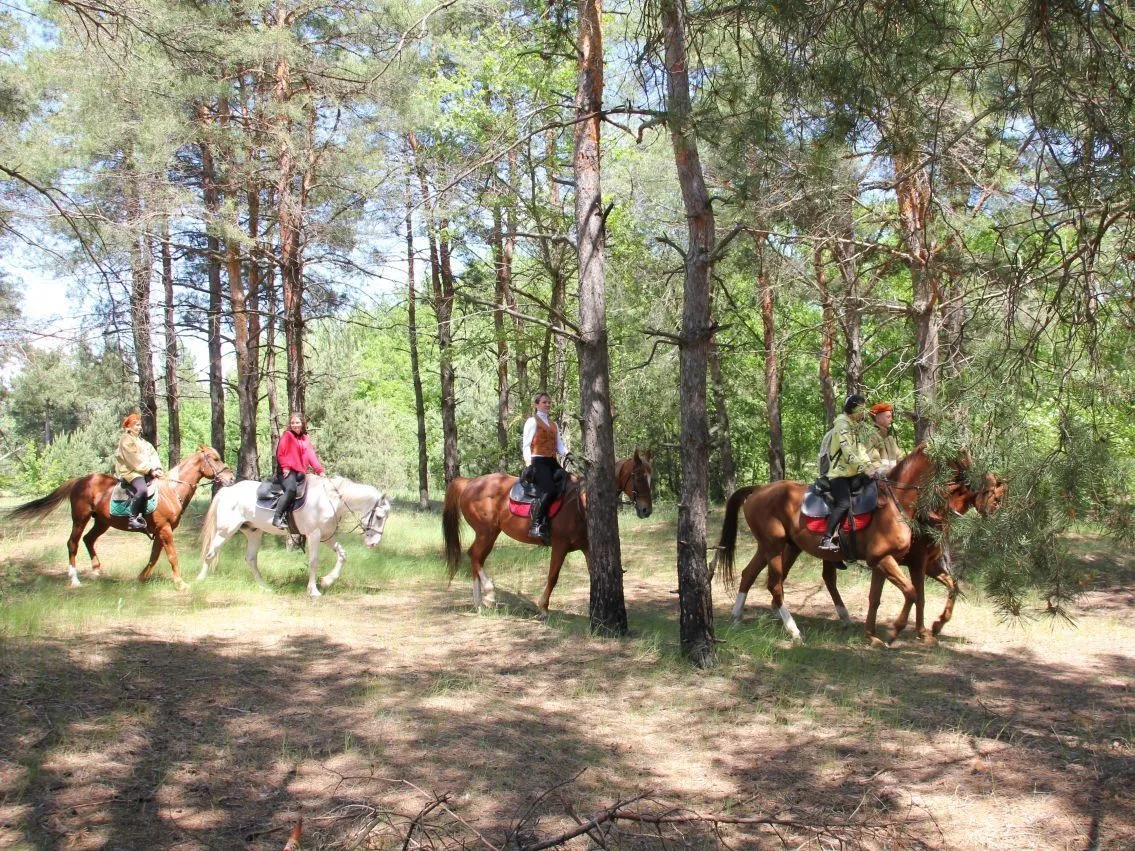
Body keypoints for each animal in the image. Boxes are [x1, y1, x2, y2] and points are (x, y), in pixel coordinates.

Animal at [5, 447, 237, 594]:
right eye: (215, 459)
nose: (231, 478)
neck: (170, 491)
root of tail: (80, 480)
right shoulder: (165, 530)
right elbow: (171, 556)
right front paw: (180, 584)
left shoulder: (160, 531)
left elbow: (154, 557)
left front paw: (140, 579)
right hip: (80, 518)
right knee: (73, 543)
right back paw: (75, 579)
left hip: (102, 522)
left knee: (89, 540)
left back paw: (97, 570)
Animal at [202, 474, 397, 599]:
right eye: (380, 517)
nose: (374, 543)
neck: (330, 500)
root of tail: (228, 491)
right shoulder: (314, 535)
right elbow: (314, 561)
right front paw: (314, 590)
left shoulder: (327, 536)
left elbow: (342, 555)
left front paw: (327, 581)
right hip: (225, 531)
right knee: (210, 554)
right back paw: (200, 581)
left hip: (253, 533)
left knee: (250, 559)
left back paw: (266, 588)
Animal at [442, 453, 658, 621]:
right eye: (638, 477)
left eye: (650, 478)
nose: (646, 510)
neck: (580, 502)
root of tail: (469, 482)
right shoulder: (560, 546)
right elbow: (553, 576)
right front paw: (543, 608)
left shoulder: (586, 547)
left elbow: (593, 574)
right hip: (487, 532)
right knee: (475, 556)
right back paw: (488, 596)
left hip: (488, 534)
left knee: (476, 557)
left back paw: (479, 602)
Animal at [712, 447, 1007, 644]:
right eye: (962, 457)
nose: (994, 515)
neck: (905, 504)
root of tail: (759, 490)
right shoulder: (899, 561)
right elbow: (914, 594)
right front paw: (898, 631)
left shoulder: (900, 563)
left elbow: (890, 596)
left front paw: (918, 629)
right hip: (774, 547)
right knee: (775, 584)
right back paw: (794, 630)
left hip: (778, 547)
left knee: (751, 575)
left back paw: (738, 618)